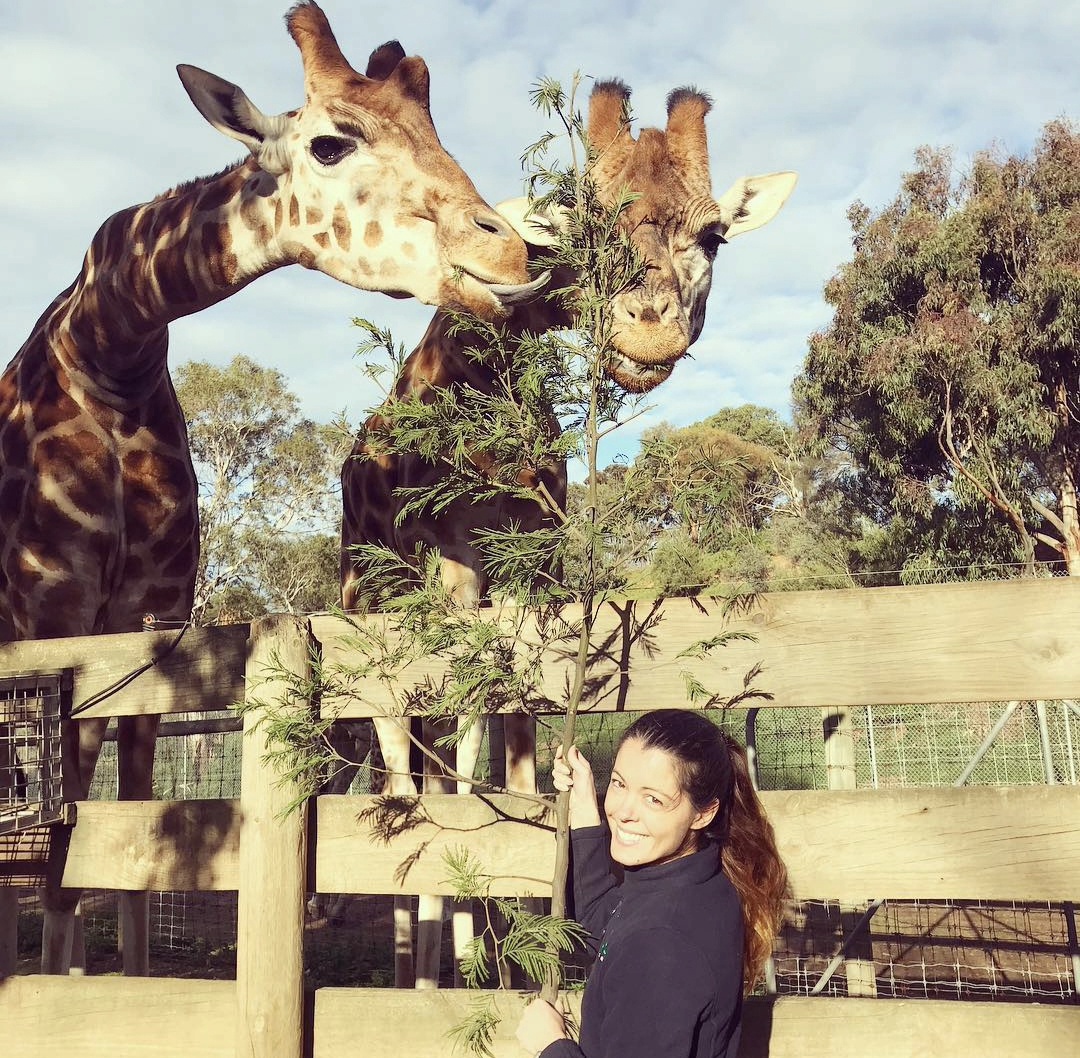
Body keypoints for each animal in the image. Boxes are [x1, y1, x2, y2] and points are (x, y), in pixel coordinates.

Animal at [0, 0, 540, 977]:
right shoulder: (47, 616)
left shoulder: (151, 617)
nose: (512, 253)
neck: (110, 350)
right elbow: (61, 853)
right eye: (331, 143)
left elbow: (127, 843)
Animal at [339, 77, 796, 988]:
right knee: (399, 766)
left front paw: (511, 940)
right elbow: (451, 769)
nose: (648, 327)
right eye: (583, 224)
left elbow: (511, 754)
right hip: (367, 599)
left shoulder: (531, 568)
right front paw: (463, 962)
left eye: (714, 235)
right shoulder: (450, 574)